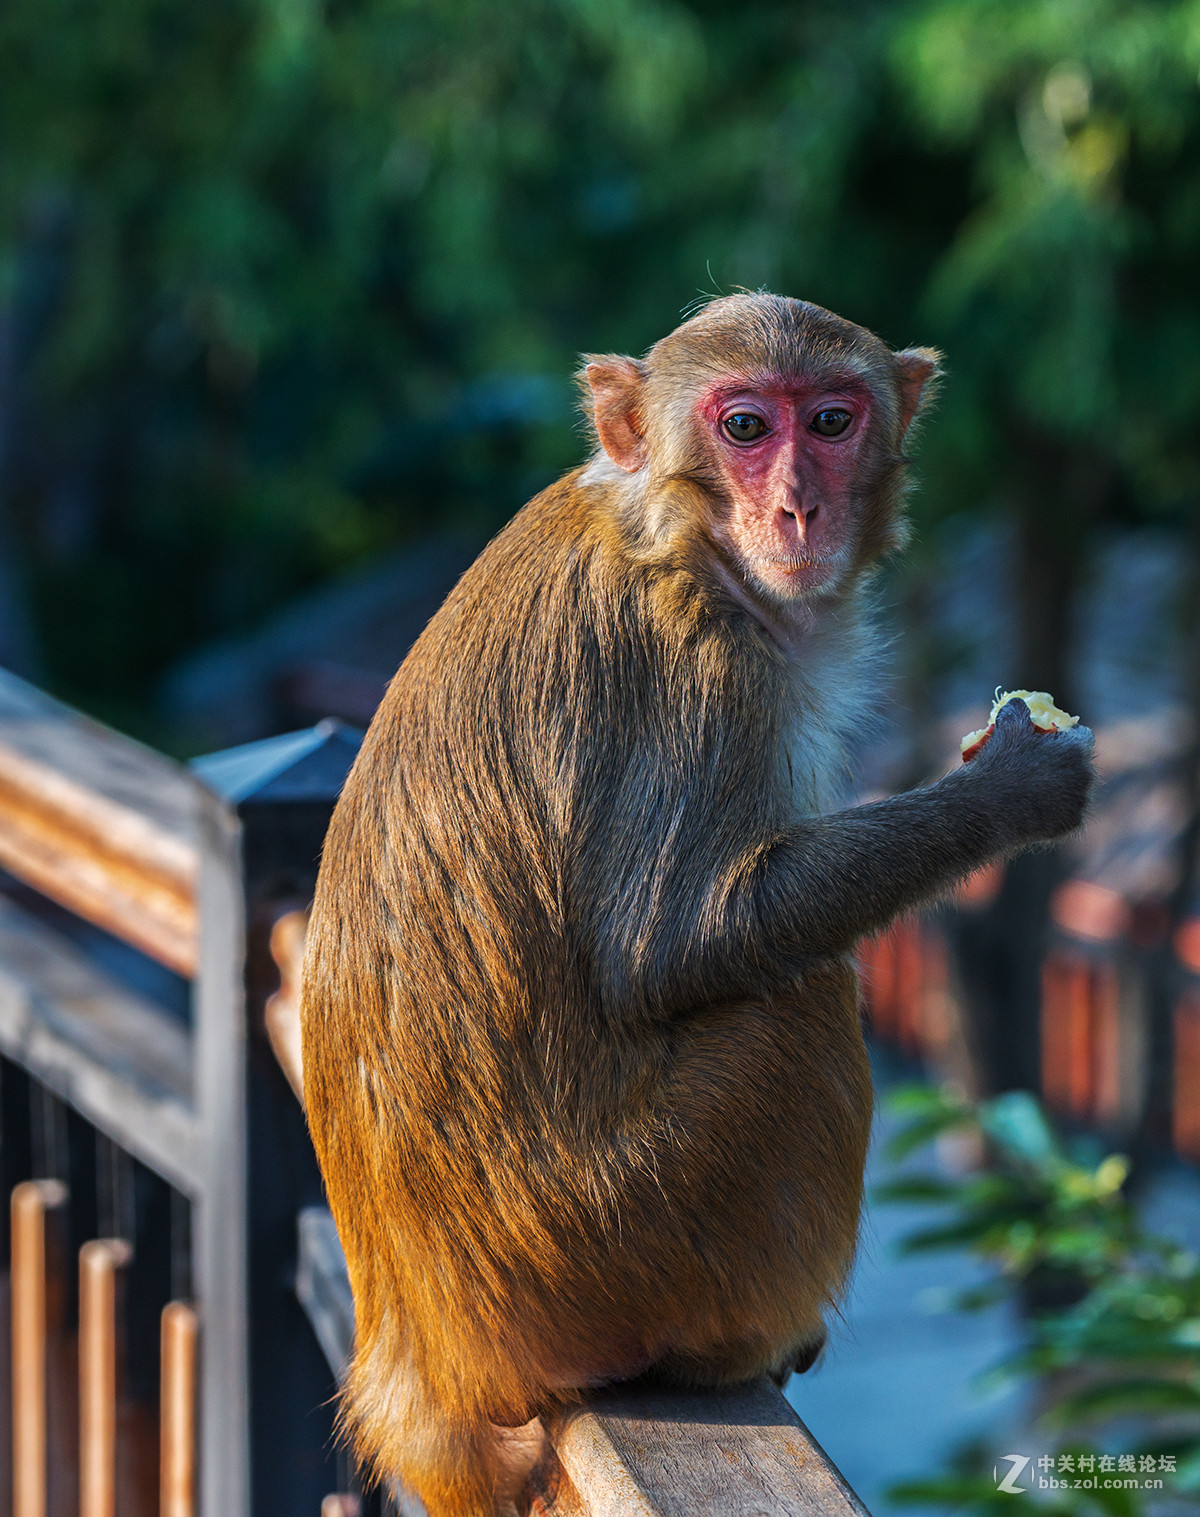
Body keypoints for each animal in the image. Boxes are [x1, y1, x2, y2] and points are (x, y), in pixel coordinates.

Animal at [300, 289, 1098, 1510]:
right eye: (744, 427)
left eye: (830, 420)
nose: (797, 505)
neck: (679, 536)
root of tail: (426, 1365)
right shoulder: (697, 663)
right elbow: (668, 947)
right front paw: (1012, 789)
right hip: (622, 1241)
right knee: (801, 997)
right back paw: (741, 1345)